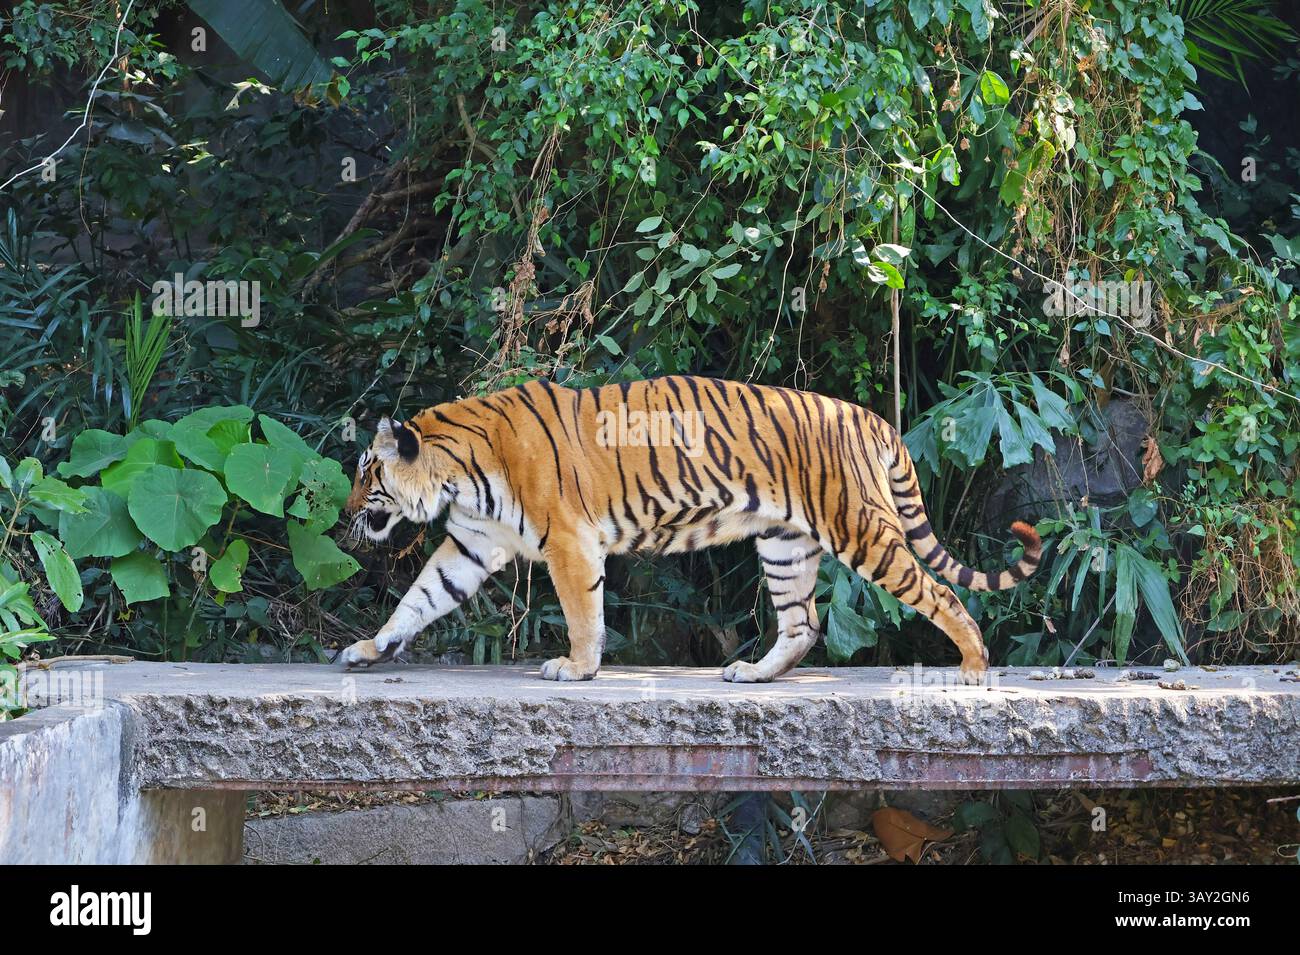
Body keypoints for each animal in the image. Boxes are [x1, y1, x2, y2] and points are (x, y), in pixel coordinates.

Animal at [337, 376, 1041, 684]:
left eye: (367, 473)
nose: (344, 517)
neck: (457, 473)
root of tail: (870, 417)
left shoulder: (569, 541)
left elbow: (583, 613)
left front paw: (577, 668)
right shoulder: (471, 544)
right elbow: (417, 600)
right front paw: (367, 651)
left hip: (862, 531)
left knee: (940, 593)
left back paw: (974, 668)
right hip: (784, 545)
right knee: (803, 624)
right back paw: (753, 675)